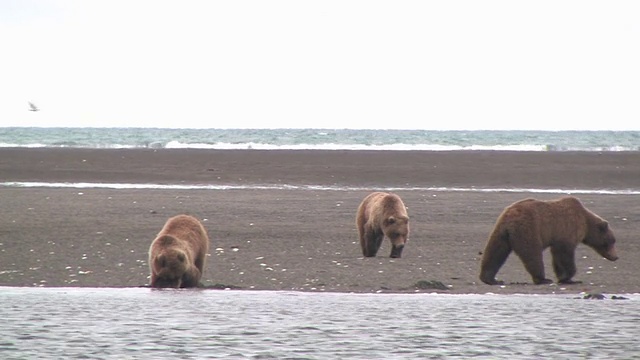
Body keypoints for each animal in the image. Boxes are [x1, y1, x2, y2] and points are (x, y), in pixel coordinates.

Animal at [482, 195, 616, 286]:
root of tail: (510, 216)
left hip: (501, 232)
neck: (586, 222)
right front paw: (568, 277)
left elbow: (557, 256)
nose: (616, 257)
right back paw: (543, 279)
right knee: (532, 254)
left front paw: (564, 277)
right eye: (612, 241)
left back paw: (490, 279)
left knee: (495, 252)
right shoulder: (567, 228)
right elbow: (564, 254)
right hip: (529, 229)